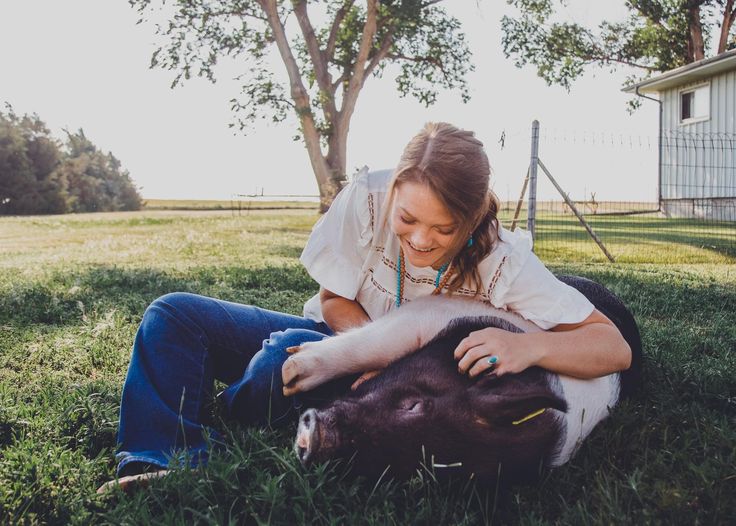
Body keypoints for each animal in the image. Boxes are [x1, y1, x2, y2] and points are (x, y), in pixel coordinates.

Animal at [284, 278, 640, 484]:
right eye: (413, 404)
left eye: (407, 466)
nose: (313, 439)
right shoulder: (437, 311)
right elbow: (376, 342)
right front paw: (290, 372)